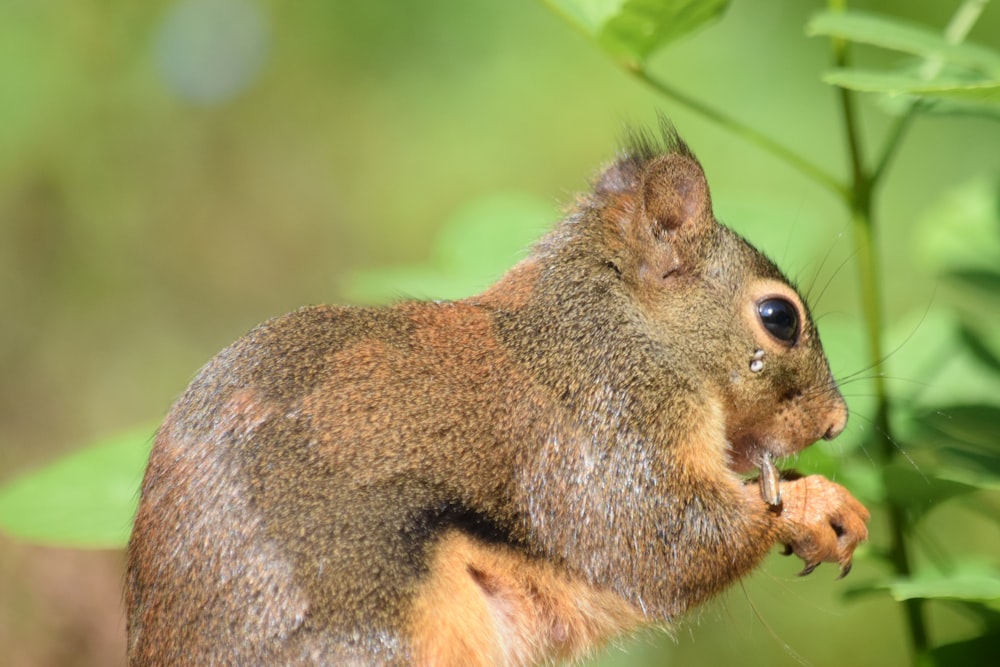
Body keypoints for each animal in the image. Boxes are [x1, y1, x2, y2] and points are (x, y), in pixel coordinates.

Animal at [129, 122, 872, 664]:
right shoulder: (605, 420)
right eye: (778, 317)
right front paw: (815, 503)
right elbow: (664, 542)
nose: (836, 423)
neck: (614, 326)